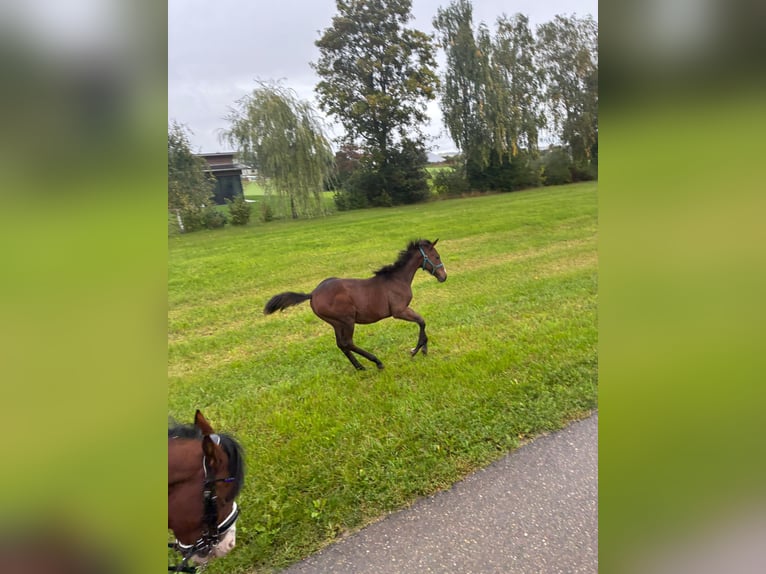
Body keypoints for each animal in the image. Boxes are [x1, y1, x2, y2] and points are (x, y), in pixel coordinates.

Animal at [264, 238, 447, 370]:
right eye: (437, 257)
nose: (444, 276)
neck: (397, 279)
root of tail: (313, 294)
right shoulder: (399, 311)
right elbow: (421, 321)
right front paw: (418, 350)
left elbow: (422, 321)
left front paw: (421, 349)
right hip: (347, 320)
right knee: (348, 343)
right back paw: (377, 362)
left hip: (336, 323)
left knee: (341, 344)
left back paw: (360, 366)